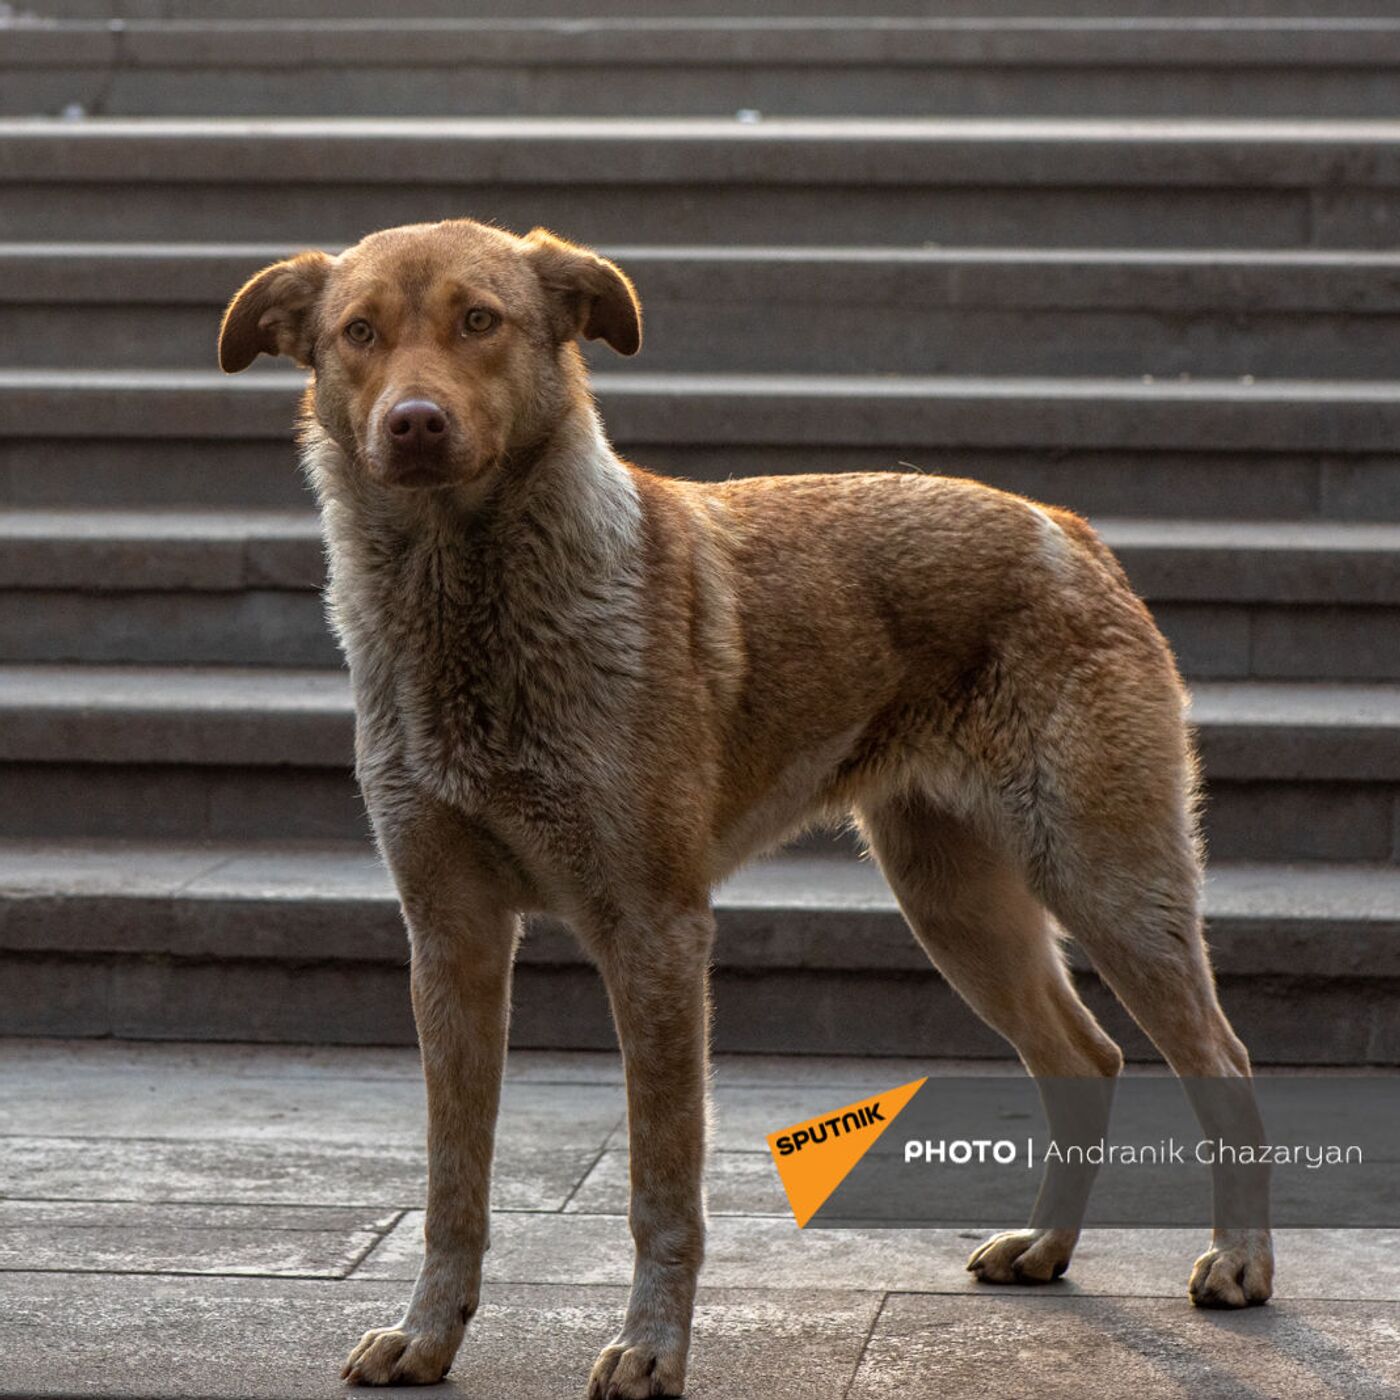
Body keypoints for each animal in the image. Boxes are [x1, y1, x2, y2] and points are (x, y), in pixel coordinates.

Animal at [215, 215, 1271, 1388]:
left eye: (479, 321)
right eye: (358, 333)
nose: (413, 423)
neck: (468, 610)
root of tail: (1066, 528)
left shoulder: (655, 933)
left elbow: (661, 1190)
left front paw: (649, 1351)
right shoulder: (449, 937)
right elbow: (453, 1180)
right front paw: (429, 1334)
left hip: (1104, 878)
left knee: (1221, 1061)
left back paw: (1239, 1263)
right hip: (956, 903)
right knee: (1084, 1058)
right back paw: (1044, 1246)